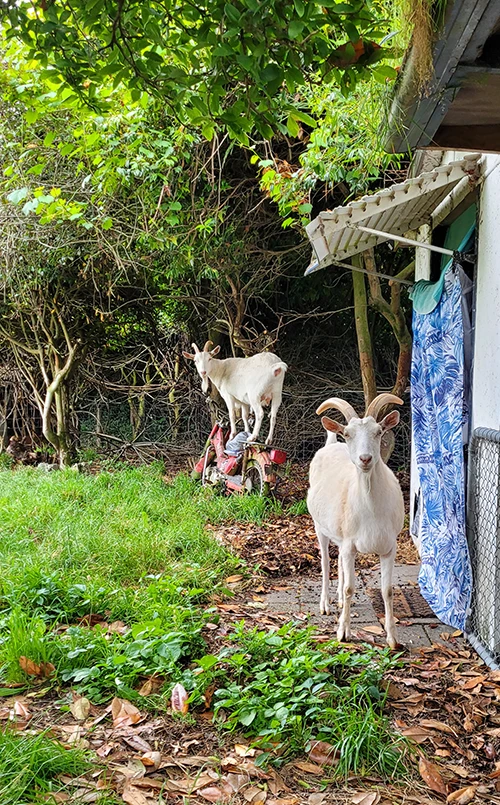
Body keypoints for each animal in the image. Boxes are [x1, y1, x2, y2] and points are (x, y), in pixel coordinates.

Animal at [306, 392, 404, 652]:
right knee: (326, 561)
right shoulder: (350, 544)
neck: (372, 511)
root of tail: (331, 443)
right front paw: (343, 633)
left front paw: (393, 638)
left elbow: (387, 590)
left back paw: (339, 601)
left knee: (339, 562)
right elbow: (351, 587)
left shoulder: (389, 547)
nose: (365, 458)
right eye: (348, 434)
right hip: (320, 527)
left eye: (379, 431)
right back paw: (326, 603)